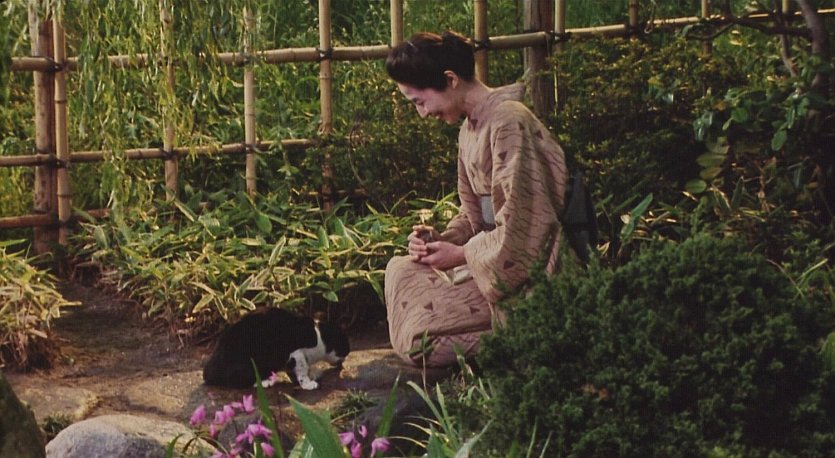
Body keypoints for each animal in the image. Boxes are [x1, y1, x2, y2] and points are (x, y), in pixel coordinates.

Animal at [202, 307, 350, 390]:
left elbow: (294, 370)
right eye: (345, 349)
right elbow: (302, 369)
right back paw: (264, 382)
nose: (344, 362)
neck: (319, 337)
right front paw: (307, 383)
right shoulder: (295, 353)